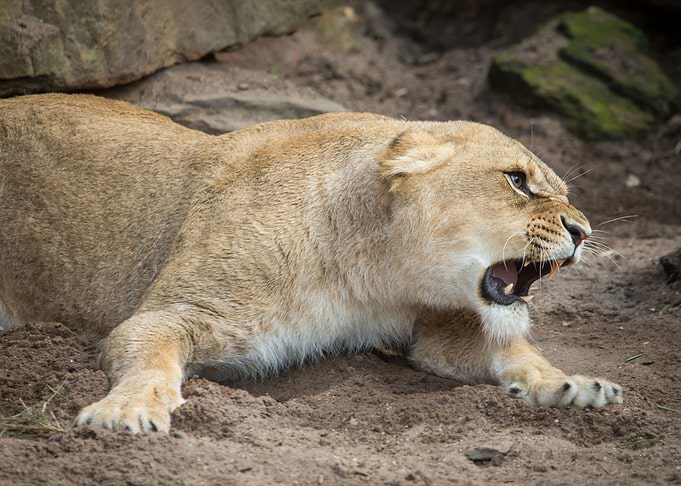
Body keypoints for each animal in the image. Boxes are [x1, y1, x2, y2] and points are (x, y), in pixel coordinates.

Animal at [0, 94, 622, 433]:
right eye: (517, 181)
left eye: (564, 194)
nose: (584, 232)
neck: (370, 273)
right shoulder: (174, 311)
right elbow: (149, 358)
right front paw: (125, 411)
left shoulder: (437, 328)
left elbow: (510, 352)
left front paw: (571, 384)